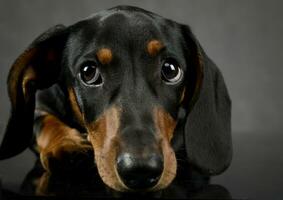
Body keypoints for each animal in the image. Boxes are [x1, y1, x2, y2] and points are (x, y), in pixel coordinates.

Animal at [0, 5, 232, 192]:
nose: (141, 170)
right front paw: (66, 145)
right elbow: (44, 122)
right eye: (88, 72)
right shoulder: (42, 104)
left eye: (171, 69)